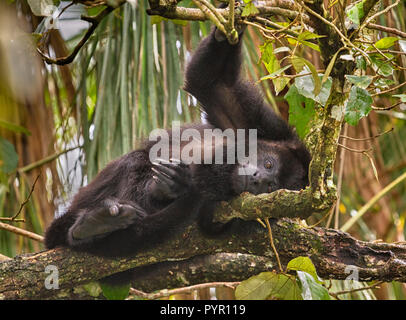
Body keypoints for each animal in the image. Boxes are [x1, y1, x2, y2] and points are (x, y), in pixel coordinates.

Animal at [44, 25, 310, 258]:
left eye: (270, 187)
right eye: (268, 165)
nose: (257, 179)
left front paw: (177, 185)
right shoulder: (263, 126)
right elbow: (211, 82)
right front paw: (228, 29)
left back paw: (95, 226)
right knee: (136, 159)